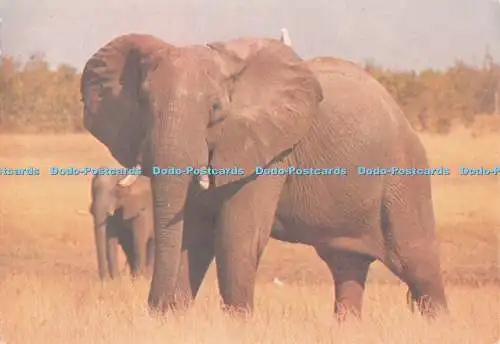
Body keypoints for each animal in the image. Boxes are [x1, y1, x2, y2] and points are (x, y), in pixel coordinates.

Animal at [80, 33, 448, 320]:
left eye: (215, 109)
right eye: (143, 102)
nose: (155, 309)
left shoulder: (268, 149)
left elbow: (236, 234)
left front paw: (237, 325)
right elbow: (192, 235)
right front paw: (174, 320)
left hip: (403, 176)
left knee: (417, 263)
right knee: (347, 266)